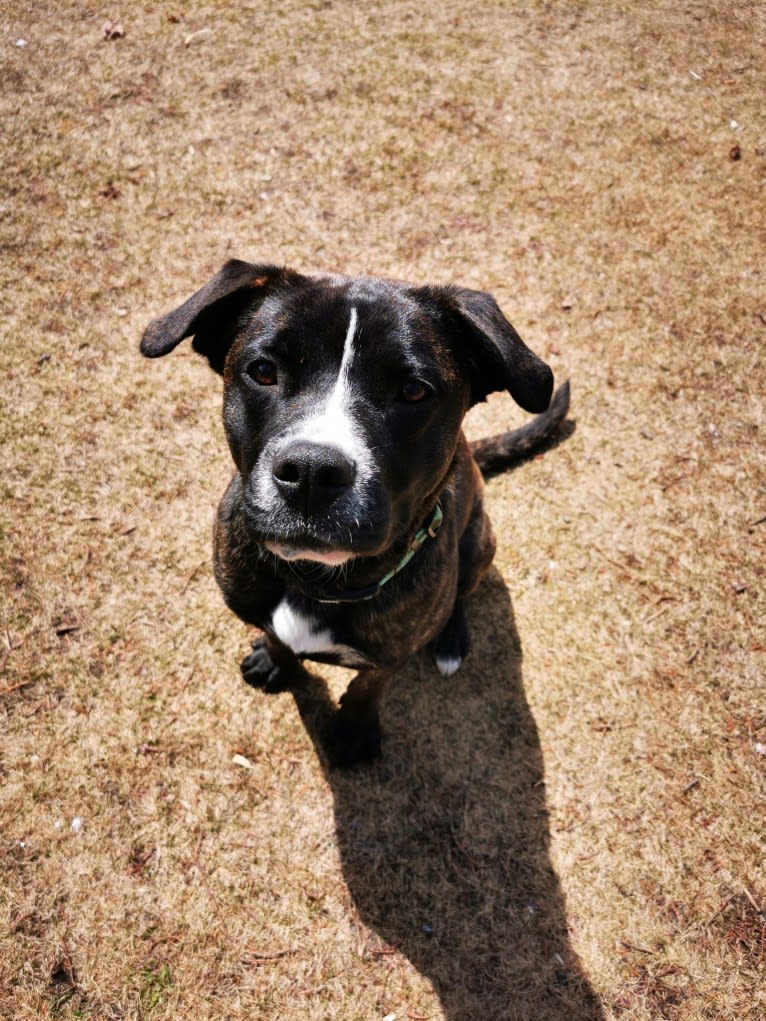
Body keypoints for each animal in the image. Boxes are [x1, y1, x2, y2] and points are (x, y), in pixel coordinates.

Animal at [142, 263, 571, 767]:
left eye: (413, 391)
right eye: (263, 371)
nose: (311, 471)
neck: (314, 583)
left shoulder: (391, 653)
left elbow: (370, 684)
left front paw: (353, 729)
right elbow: (277, 637)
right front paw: (274, 659)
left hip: (480, 543)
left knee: (461, 594)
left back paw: (450, 639)